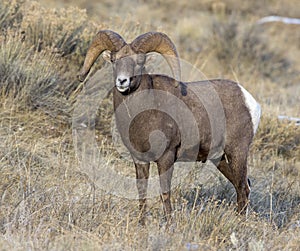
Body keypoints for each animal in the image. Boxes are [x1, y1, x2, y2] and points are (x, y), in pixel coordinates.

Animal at [77, 29, 260, 224]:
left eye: (139, 62)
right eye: (114, 60)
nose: (122, 81)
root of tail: (249, 100)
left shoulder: (166, 157)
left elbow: (165, 192)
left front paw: (169, 224)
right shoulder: (140, 160)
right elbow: (141, 191)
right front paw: (142, 224)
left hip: (237, 152)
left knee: (243, 187)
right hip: (220, 158)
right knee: (241, 186)